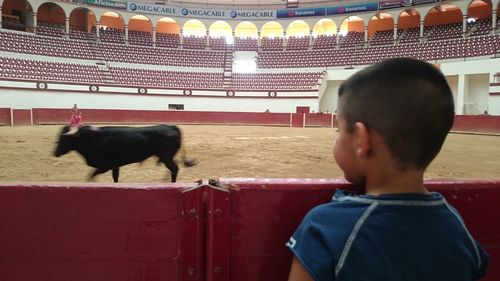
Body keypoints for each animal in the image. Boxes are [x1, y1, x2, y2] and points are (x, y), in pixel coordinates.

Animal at [53, 124, 197, 182]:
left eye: (64, 138)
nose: (55, 153)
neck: (92, 139)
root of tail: (171, 126)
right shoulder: (115, 166)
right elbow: (115, 178)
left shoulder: (104, 166)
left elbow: (90, 176)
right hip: (167, 156)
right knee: (174, 167)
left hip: (166, 156)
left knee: (175, 169)